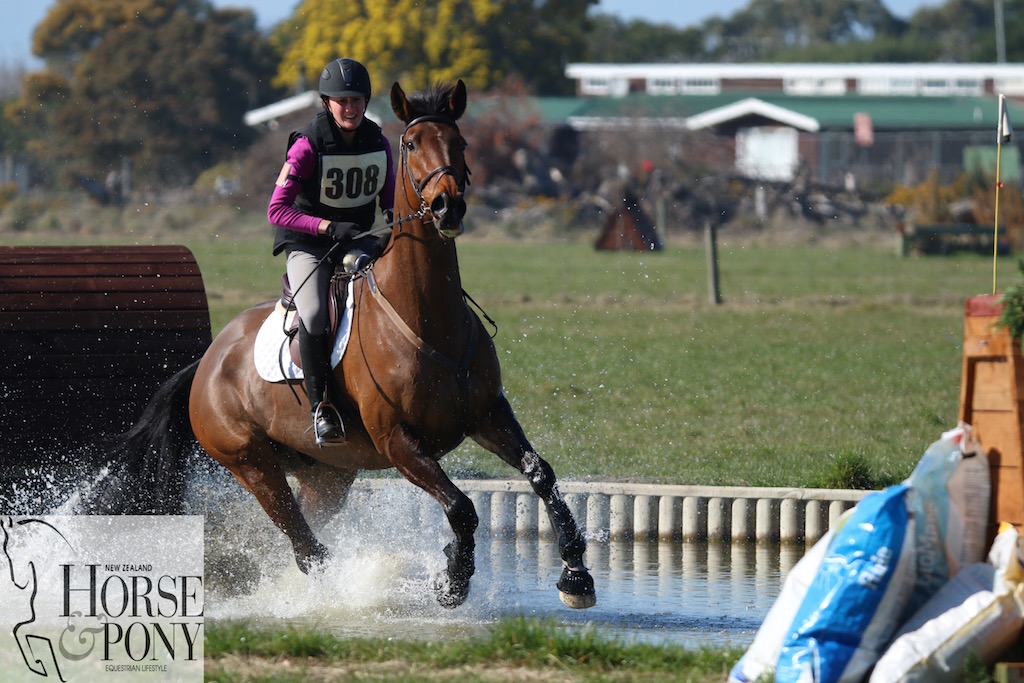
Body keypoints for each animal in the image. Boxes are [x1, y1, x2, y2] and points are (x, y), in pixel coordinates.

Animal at [95, 78, 598, 610]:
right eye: (411, 144)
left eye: (459, 142)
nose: (448, 207)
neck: (427, 316)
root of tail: (207, 362)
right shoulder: (399, 442)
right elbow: (461, 507)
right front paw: (452, 581)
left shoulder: (486, 414)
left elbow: (541, 473)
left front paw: (575, 576)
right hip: (250, 463)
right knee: (303, 543)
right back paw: (337, 589)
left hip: (327, 475)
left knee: (310, 525)